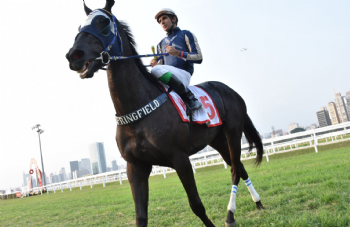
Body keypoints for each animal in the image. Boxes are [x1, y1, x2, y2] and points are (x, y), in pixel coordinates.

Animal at [65, 1, 264, 225]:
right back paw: (257, 203)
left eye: (103, 22)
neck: (136, 113)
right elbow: (141, 215)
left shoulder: (180, 159)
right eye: (80, 26)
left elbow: (197, 205)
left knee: (234, 170)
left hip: (233, 134)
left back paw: (230, 214)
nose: (74, 55)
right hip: (217, 139)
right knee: (239, 167)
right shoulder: (135, 167)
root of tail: (229, 90)